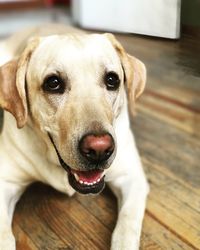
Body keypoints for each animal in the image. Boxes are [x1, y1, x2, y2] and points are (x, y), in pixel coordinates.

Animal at [0, 23, 148, 250]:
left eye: (112, 80)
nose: (99, 149)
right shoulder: (5, 180)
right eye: (53, 83)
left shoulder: (132, 178)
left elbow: (127, 226)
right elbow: (3, 235)